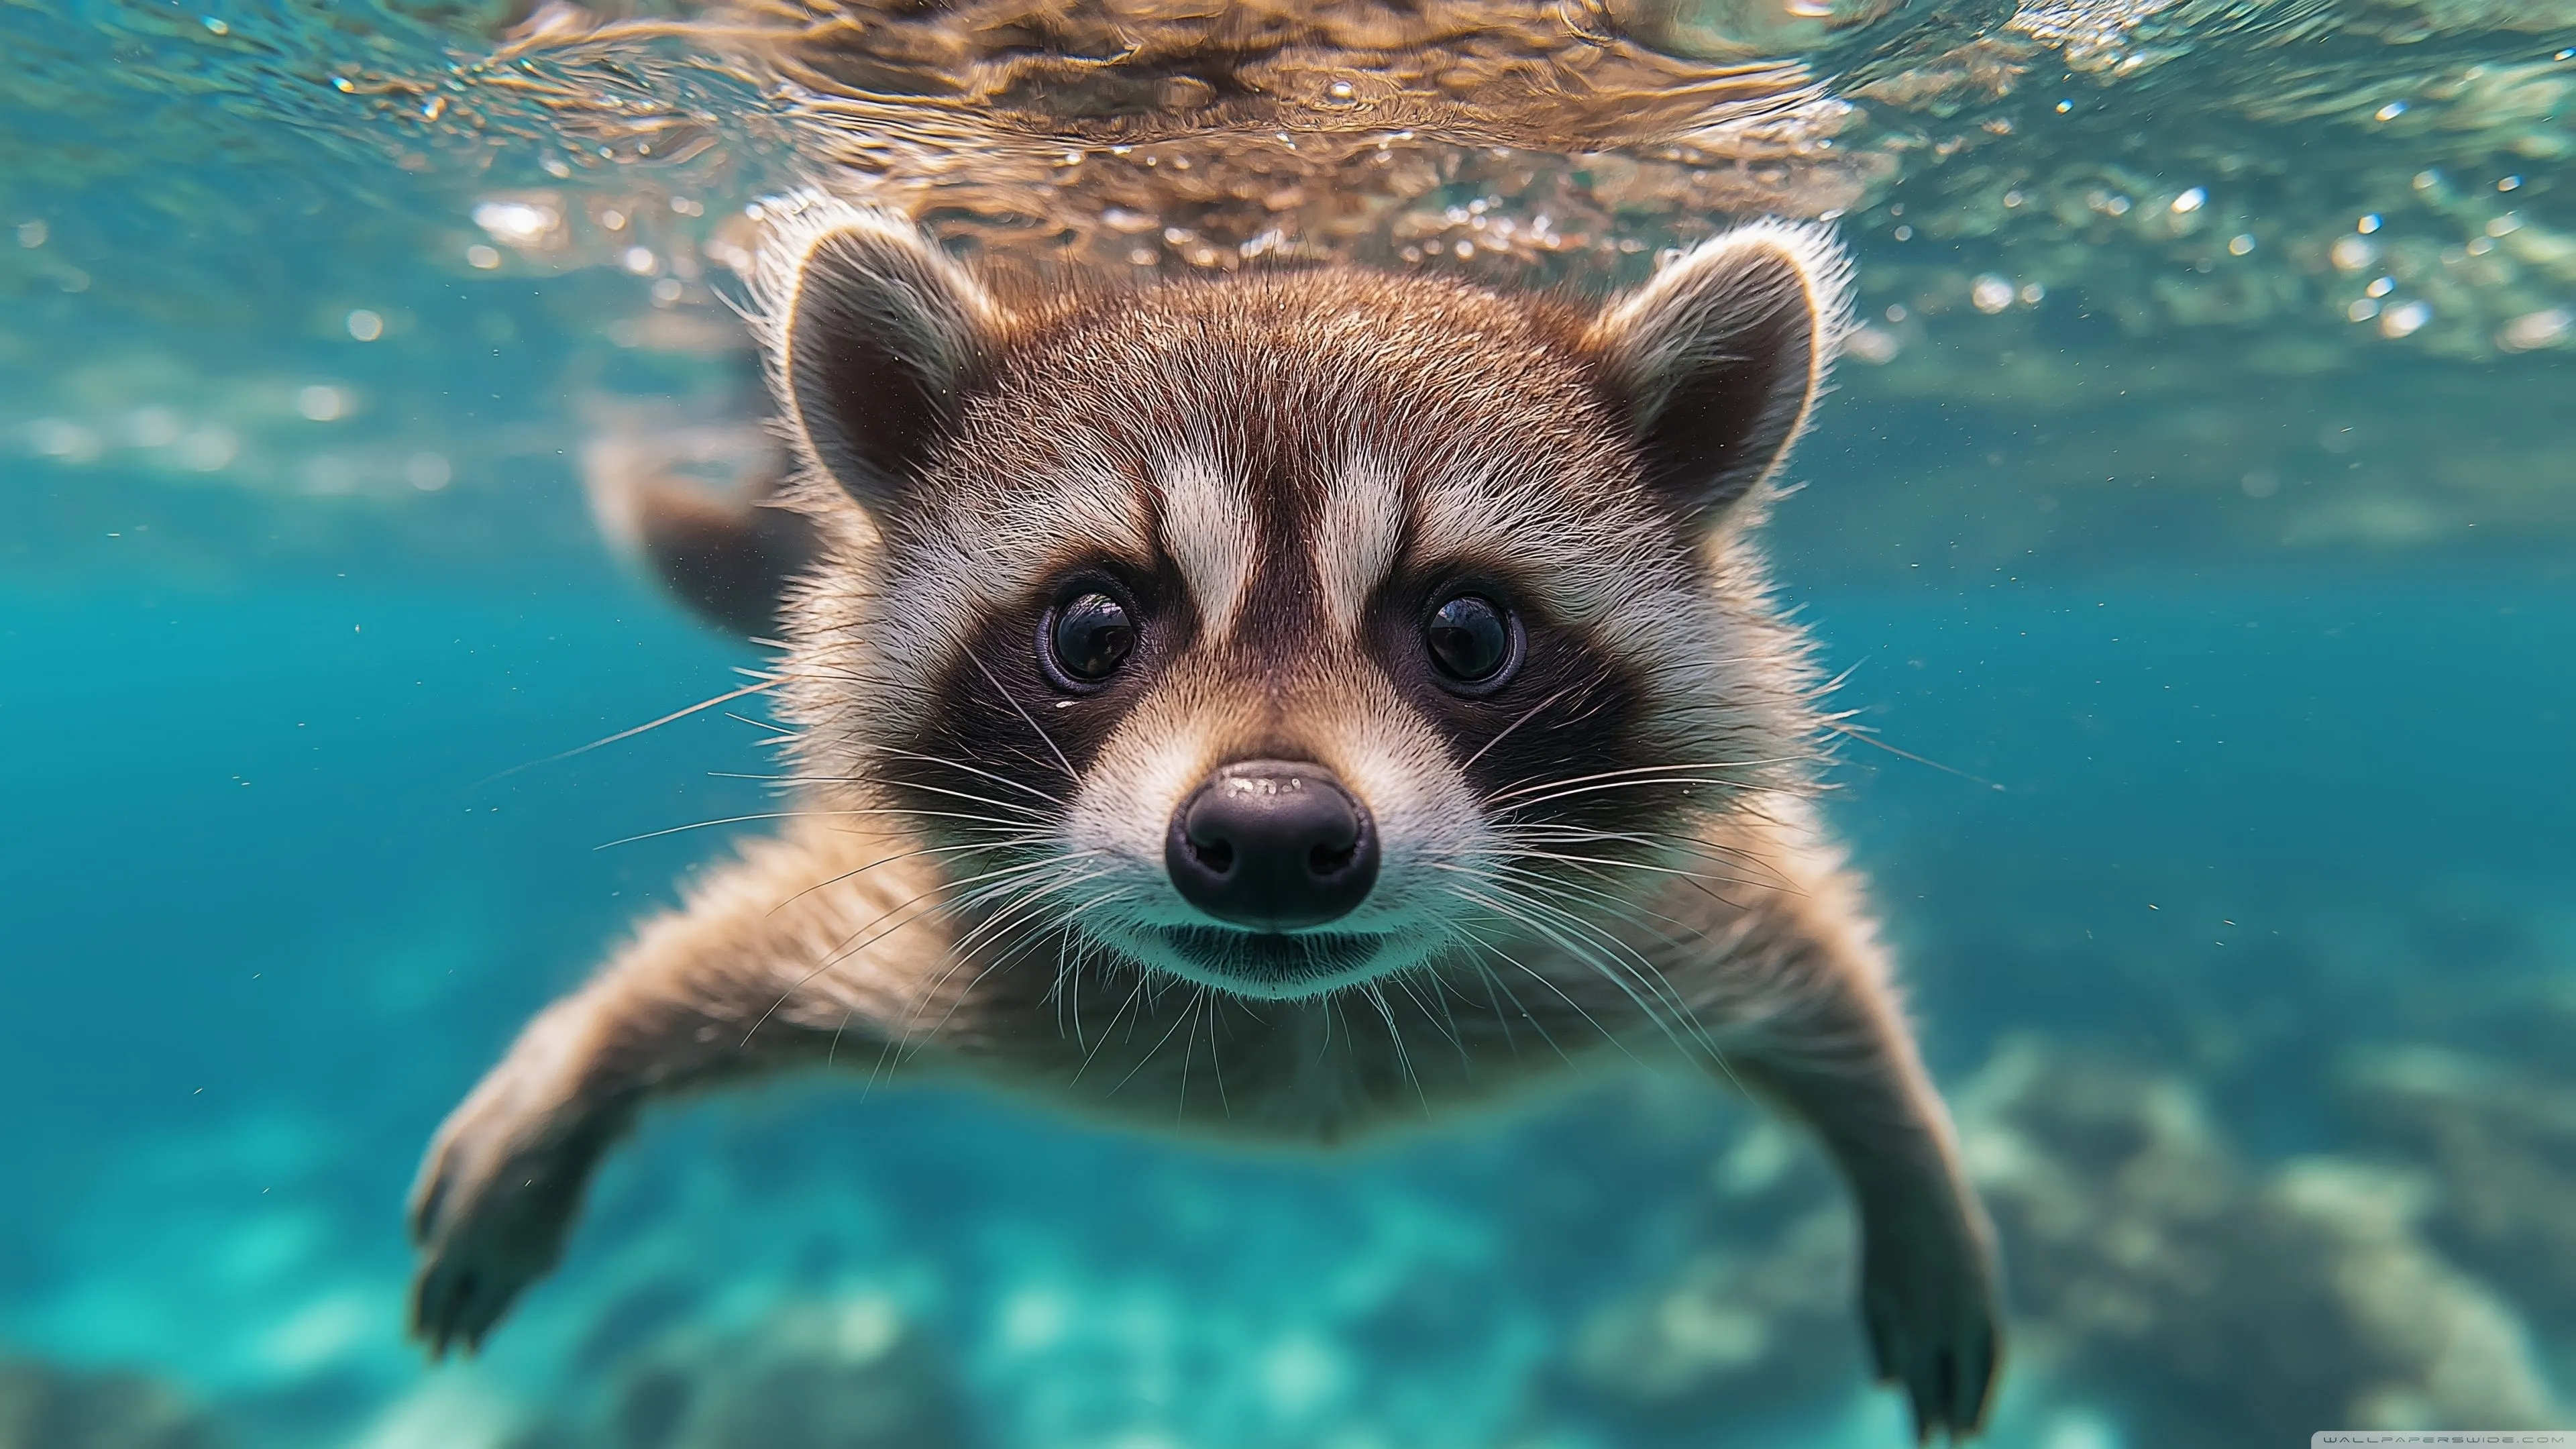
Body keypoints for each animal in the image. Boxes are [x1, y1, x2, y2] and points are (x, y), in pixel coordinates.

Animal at [409, 194, 2001, 1438]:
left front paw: (1912, 1155)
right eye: (1094, 626)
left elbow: (1809, 952)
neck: (1298, 1022)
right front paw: (583, 1059)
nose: (1279, 832)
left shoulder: (1619, 920)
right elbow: (735, 945)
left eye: (1468, 632)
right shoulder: (959, 943)